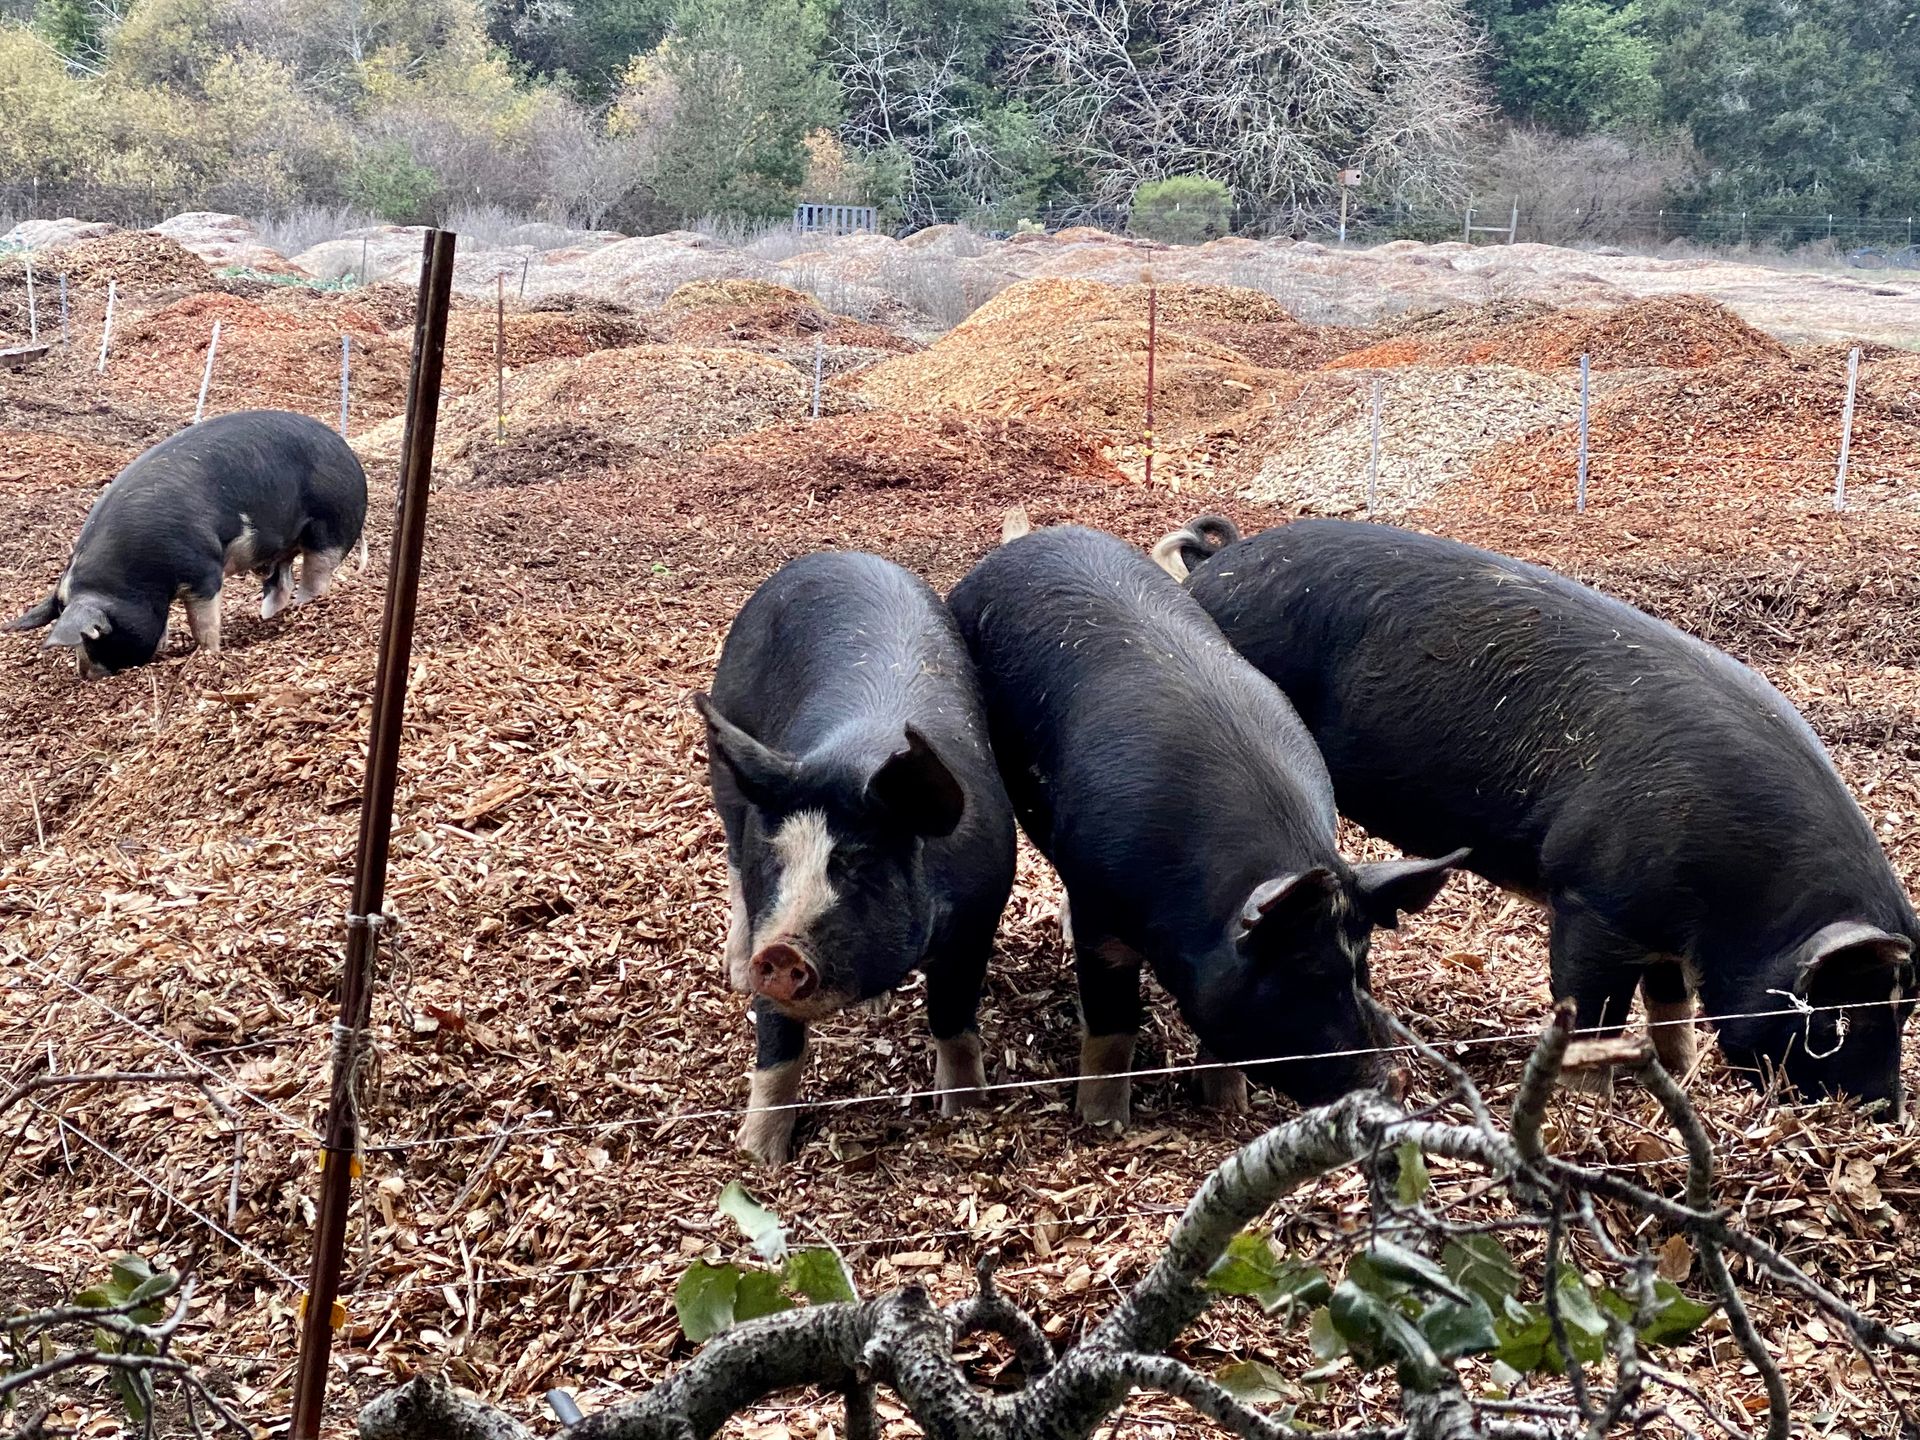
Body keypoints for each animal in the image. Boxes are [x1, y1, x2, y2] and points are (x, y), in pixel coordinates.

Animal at [7, 410, 368, 678]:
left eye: (95, 635)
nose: (86, 675)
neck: (132, 577)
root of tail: (349, 454)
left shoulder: (203, 571)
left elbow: (203, 624)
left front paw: (207, 654)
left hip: (331, 526)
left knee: (315, 576)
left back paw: (304, 608)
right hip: (281, 550)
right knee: (280, 584)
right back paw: (269, 618)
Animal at [695, 550, 1017, 1165]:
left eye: (859, 861)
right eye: (777, 856)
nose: (780, 952)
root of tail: (833, 554)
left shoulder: (979, 918)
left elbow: (953, 1020)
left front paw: (965, 1111)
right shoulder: (769, 904)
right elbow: (778, 1046)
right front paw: (758, 1156)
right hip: (730, 775)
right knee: (729, 861)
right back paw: (736, 973)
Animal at [947, 518, 1463, 1128]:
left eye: (1362, 967)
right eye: (1304, 972)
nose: (1393, 1081)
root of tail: (1028, 539)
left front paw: (1226, 1104)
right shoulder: (1104, 919)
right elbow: (1113, 1024)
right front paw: (1103, 1122)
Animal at [1160, 515, 1919, 1114]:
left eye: (1906, 1008)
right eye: (1842, 1016)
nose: (1884, 1112)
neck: (1749, 898)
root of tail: (1218, 564)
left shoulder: (1662, 929)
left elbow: (1669, 1005)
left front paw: (1680, 1080)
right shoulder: (1592, 899)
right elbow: (1593, 1016)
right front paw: (1592, 1109)